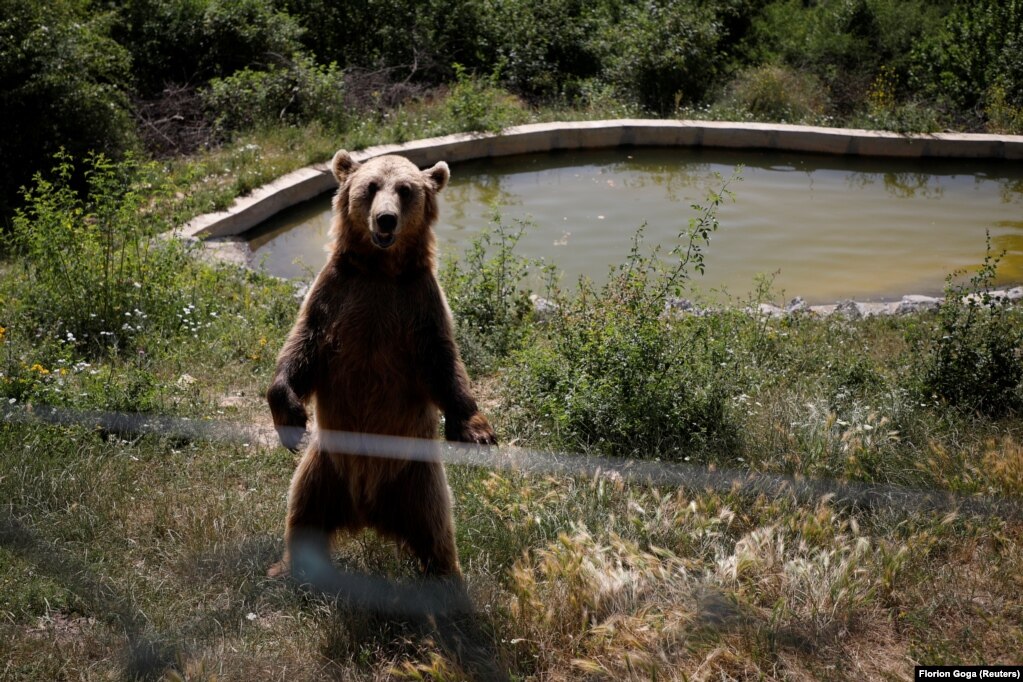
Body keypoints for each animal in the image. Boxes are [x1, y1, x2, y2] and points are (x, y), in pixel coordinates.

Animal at [268, 150, 495, 580]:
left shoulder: (418, 304)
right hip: (323, 468)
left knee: (438, 532)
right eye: (370, 187)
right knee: (301, 514)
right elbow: (301, 348)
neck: (379, 271)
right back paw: (287, 568)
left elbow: (444, 363)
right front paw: (290, 417)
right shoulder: (335, 294)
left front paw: (476, 430)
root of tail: (366, 512)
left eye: (405, 190)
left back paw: (447, 580)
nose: (385, 219)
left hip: (417, 478)